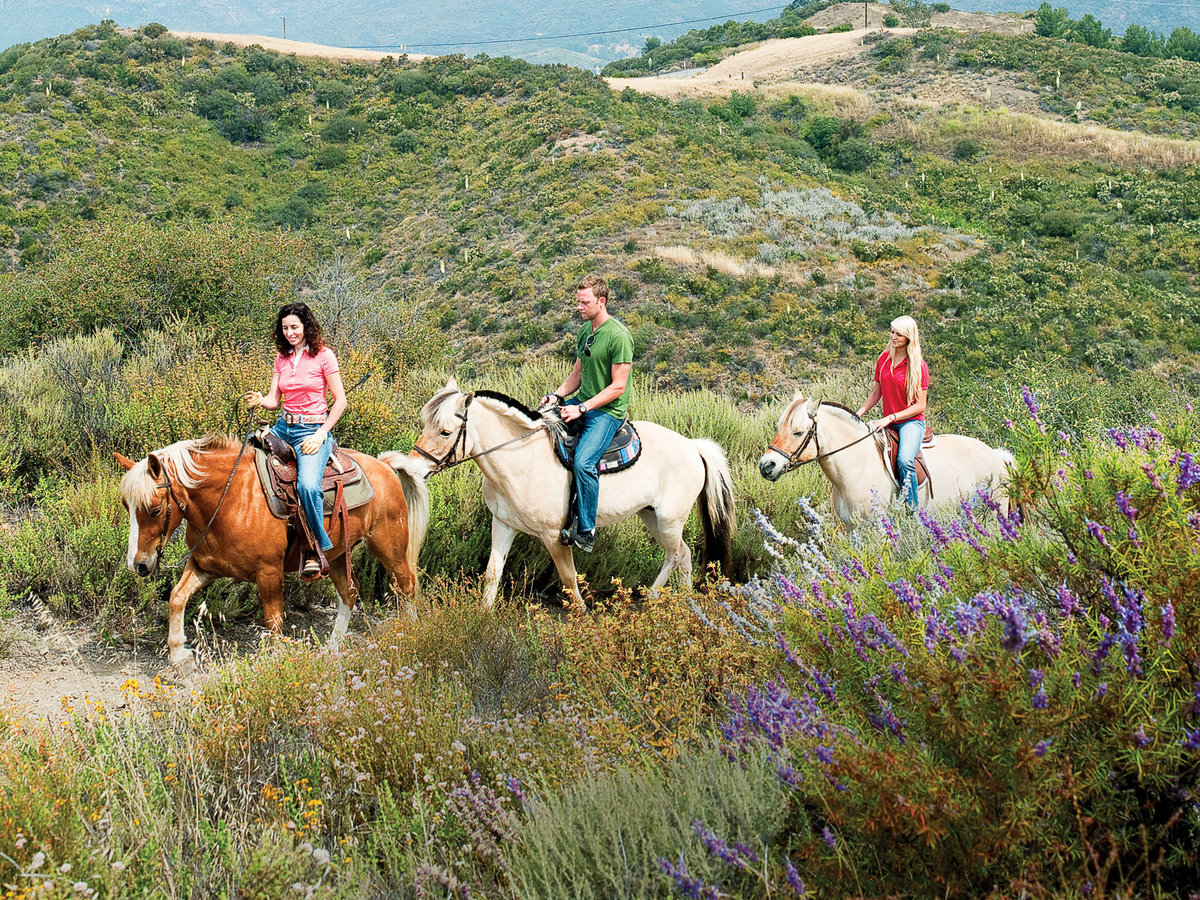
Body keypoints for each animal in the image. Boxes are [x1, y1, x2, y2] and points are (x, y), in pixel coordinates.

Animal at [119, 436, 429, 676]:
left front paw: (275, 666)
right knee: (350, 593)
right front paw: (180, 657)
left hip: (389, 546)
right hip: (337, 556)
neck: (229, 500)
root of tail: (384, 465)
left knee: (407, 585)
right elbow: (177, 598)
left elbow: (274, 623)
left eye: (154, 509)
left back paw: (411, 636)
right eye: (126, 506)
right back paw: (332, 649)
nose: (139, 565)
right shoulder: (203, 566)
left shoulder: (268, 573)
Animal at [384, 379, 739, 607]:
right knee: (684, 555)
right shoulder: (504, 524)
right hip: (650, 516)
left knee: (676, 554)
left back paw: (653, 600)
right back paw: (683, 602)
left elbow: (569, 582)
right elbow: (492, 574)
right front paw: (483, 618)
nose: (414, 467)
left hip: (668, 520)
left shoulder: (555, 536)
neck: (522, 459)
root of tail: (693, 446)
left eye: (445, 431)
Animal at [758, 393, 1012, 528]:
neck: (856, 467)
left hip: (995, 515)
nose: (766, 465)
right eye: (778, 427)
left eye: (798, 432)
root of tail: (997, 456)